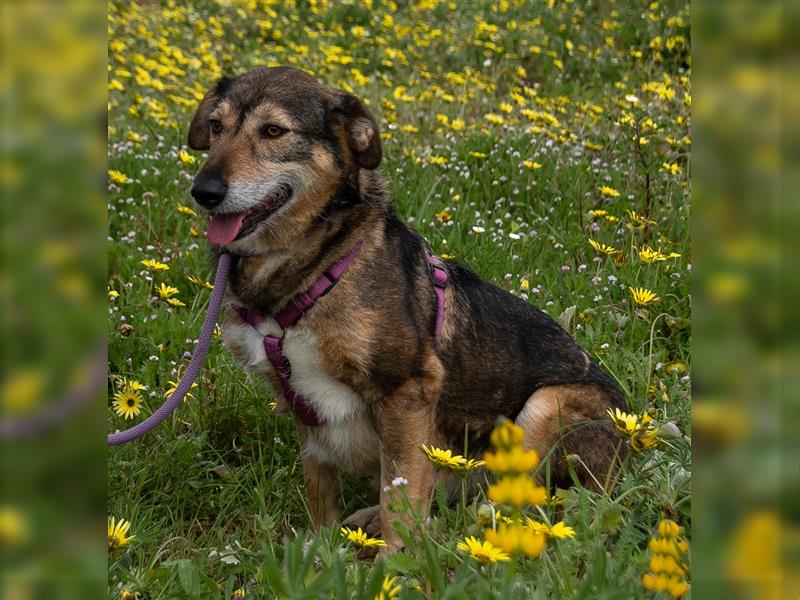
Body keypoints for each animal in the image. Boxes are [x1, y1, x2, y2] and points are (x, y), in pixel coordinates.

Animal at [189, 67, 632, 552]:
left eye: (273, 131)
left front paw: (393, 561)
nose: (203, 191)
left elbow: (398, 498)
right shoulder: (302, 405)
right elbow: (322, 489)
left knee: (505, 504)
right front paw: (321, 551)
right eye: (215, 126)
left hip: (543, 408)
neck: (315, 264)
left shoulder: (407, 390)